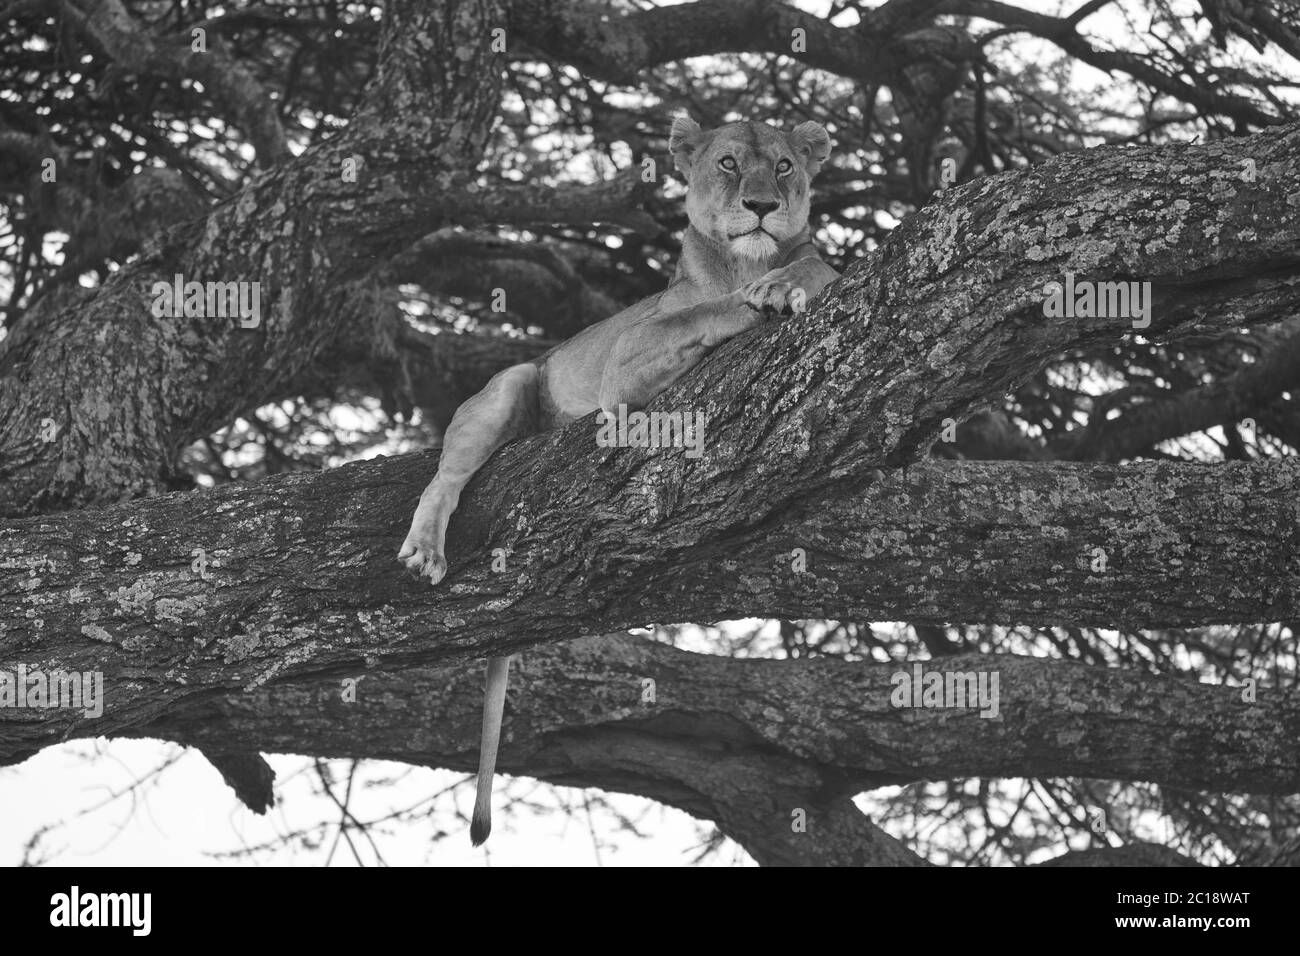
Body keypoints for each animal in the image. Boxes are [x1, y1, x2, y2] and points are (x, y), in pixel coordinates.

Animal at [397, 116, 839, 844]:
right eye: (728, 163)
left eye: (783, 166)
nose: (761, 207)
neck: (743, 261)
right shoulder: (625, 366)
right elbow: (701, 312)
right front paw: (763, 296)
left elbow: (812, 265)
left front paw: (792, 279)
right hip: (511, 382)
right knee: (445, 480)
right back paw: (424, 550)